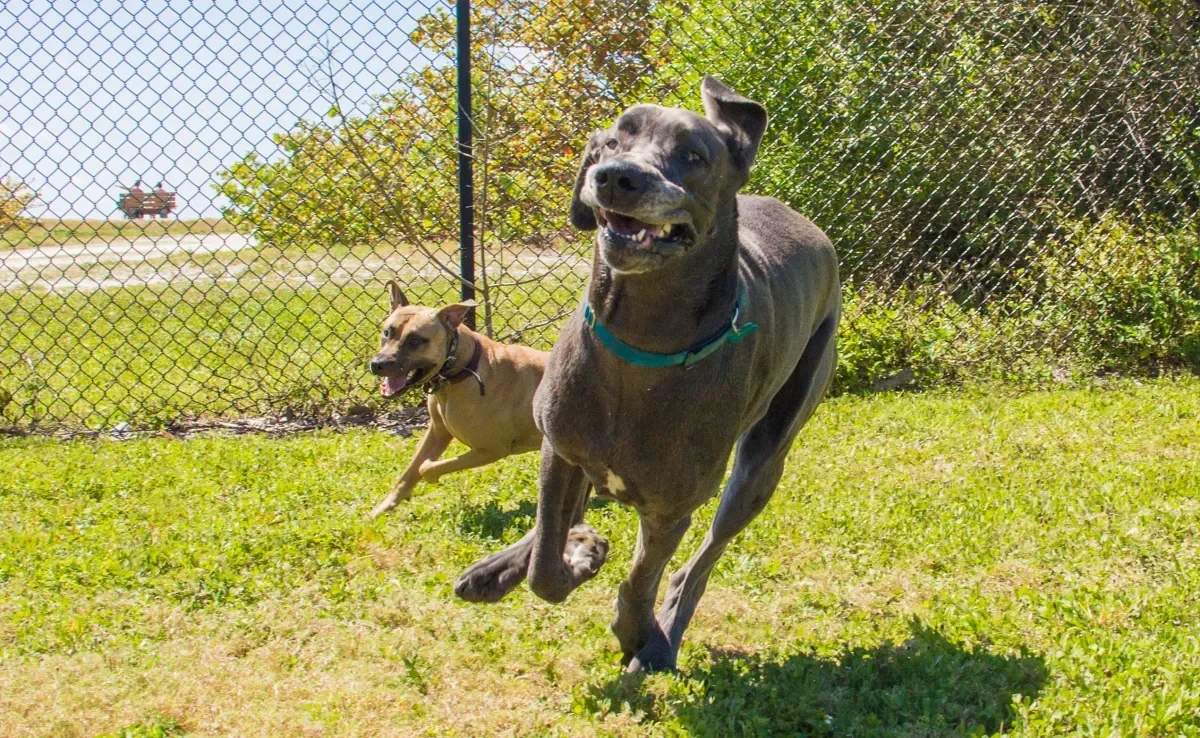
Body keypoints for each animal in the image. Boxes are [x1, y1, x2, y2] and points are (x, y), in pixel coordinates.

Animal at [364, 283, 549, 520]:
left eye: (415, 340)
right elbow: (409, 471)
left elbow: (426, 467)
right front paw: (383, 508)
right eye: (387, 332)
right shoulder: (437, 432)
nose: (377, 364)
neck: (462, 368)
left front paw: (430, 476)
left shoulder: (489, 450)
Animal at [453, 78, 840, 672]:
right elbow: (545, 563)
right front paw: (577, 552)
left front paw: (637, 630)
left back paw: (665, 632)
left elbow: (639, 582)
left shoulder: (671, 507)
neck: (640, 344)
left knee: (701, 562)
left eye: (693, 156)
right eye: (612, 142)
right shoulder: (559, 448)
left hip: (764, 461)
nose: (616, 177)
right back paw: (501, 568)